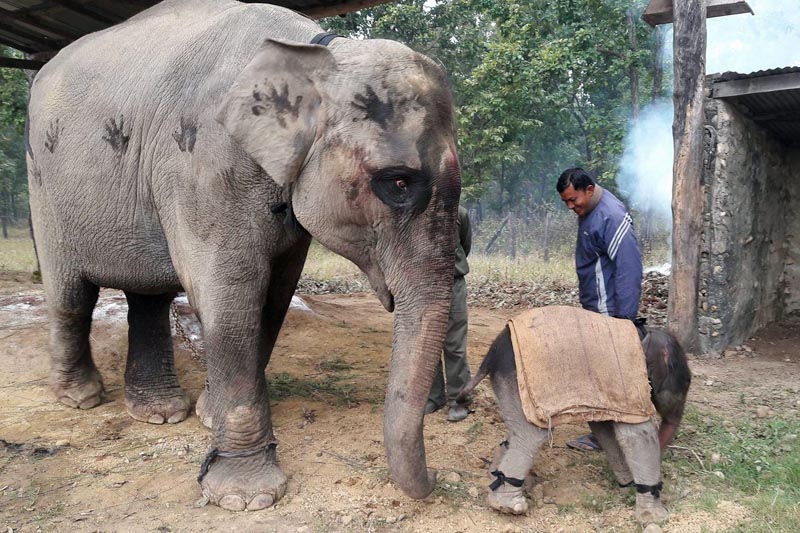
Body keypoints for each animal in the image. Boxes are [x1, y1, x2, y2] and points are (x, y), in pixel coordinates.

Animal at [25, 0, 461, 512]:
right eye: (397, 183)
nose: (436, 479)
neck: (317, 54)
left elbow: (274, 294)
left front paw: (208, 418)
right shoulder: (202, 161)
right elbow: (230, 295)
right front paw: (247, 498)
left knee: (147, 295)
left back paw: (159, 413)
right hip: (43, 185)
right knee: (71, 293)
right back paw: (82, 399)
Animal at [457, 325, 691, 523]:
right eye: (685, 384)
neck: (644, 334)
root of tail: (492, 354)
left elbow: (603, 427)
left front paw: (627, 483)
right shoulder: (629, 382)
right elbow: (637, 435)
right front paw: (656, 516)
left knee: (518, 431)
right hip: (521, 381)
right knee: (532, 434)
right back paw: (509, 505)